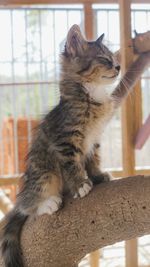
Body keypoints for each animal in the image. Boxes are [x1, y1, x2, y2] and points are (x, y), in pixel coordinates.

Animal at [1, 25, 120, 267]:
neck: (91, 95)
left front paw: (98, 176)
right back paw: (47, 203)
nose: (119, 67)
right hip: (45, 173)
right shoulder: (65, 140)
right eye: (105, 59)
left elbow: (93, 160)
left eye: (113, 59)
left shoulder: (94, 140)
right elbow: (72, 165)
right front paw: (81, 184)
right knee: (26, 205)